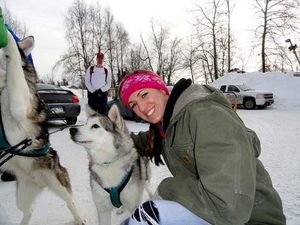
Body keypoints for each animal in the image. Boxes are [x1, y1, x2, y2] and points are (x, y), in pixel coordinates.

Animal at [0, 32, 85, 224]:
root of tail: (39, 182)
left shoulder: (19, 105)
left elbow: (15, 61)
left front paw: (9, 37)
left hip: (58, 184)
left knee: (70, 202)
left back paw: (80, 219)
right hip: (22, 198)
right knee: (29, 210)